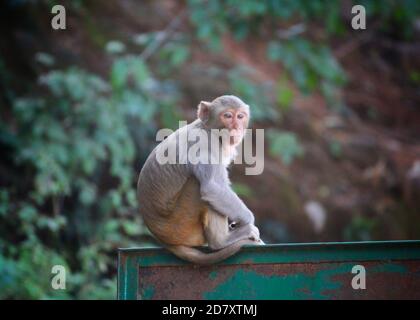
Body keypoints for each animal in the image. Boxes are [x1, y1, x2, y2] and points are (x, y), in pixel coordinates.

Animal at [137, 95, 262, 264]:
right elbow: (213, 188)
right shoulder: (203, 145)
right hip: (181, 226)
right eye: (228, 116)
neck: (208, 130)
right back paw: (221, 241)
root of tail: (164, 240)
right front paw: (248, 220)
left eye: (240, 116)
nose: (236, 127)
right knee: (200, 187)